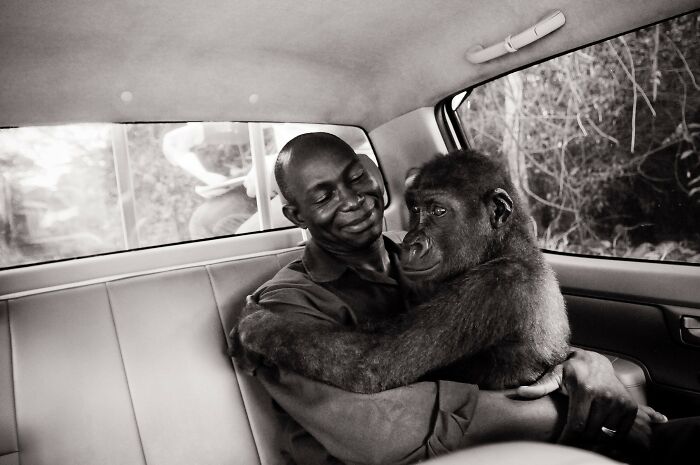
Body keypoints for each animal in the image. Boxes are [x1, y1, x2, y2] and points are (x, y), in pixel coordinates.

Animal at [235, 149, 570, 394]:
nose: (412, 242)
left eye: (438, 211)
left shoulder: (492, 287)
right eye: (416, 210)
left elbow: (374, 360)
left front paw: (260, 325)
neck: (503, 247)